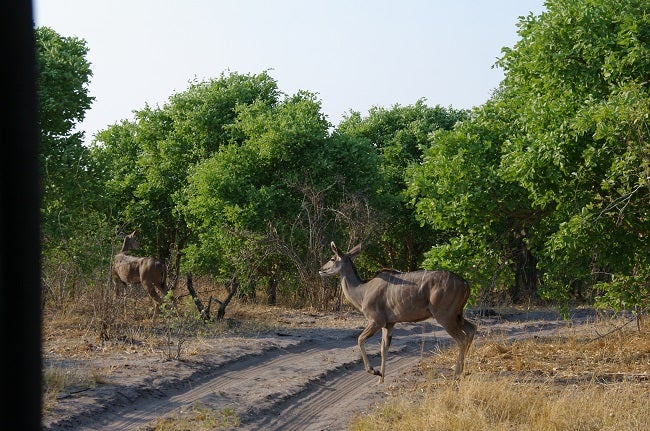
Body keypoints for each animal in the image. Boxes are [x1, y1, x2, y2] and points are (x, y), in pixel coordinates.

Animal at [318, 243, 476, 384]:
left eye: (332, 258)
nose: (321, 270)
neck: (363, 290)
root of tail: (466, 285)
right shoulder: (389, 324)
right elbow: (383, 348)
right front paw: (380, 380)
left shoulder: (377, 321)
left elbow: (360, 339)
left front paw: (374, 371)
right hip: (457, 315)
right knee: (471, 329)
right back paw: (463, 371)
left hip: (445, 316)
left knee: (462, 338)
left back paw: (456, 374)